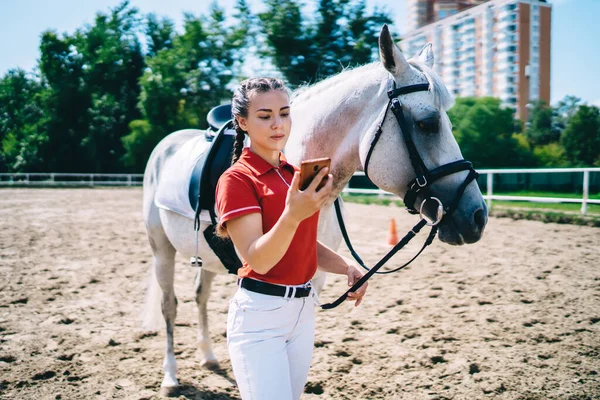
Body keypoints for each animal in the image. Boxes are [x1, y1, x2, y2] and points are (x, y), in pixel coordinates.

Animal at [142, 24, 488, 394]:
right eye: (427, 123)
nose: (478, 215)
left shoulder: (316, 276)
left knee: (200, 296)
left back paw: (208, 357)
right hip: (161, 249)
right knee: (169, 305)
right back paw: (170, 376)